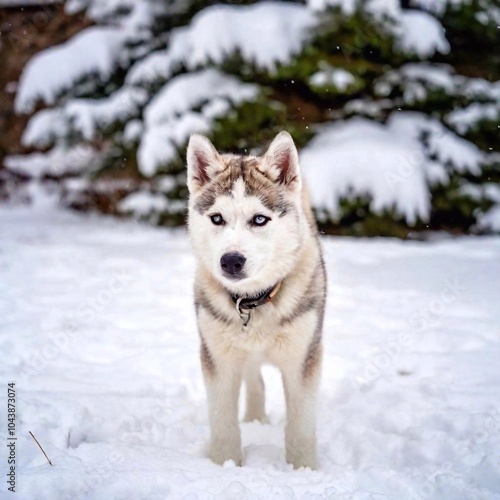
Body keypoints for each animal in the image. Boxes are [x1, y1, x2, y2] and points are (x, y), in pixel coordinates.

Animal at [186, 132, 326, 468]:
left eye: (259, 219)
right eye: (217, 218)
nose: (231, 261)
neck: (254, 301)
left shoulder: (303, 357)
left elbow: (301, 427)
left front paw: (304, 470)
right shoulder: (218, 358)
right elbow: (222, 423)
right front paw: (224, 465)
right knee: (254, 379)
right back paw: (254, 418)